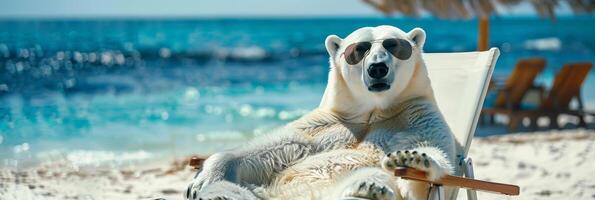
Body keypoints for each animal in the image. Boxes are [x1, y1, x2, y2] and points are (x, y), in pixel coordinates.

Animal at [186, 25, 456, 199]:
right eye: (358, 50)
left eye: (394, 45)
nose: (377, 68)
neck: (373, 109)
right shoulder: (327, 123)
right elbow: (277, 147)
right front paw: (204, 177)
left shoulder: (416, 114)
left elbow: (430, 163)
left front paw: (412, 159)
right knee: (227, 190)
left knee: (373, 177)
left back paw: (367, 188)